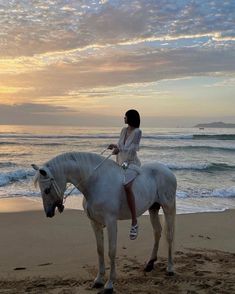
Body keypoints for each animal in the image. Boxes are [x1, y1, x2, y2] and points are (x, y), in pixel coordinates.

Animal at [32, 152, 176, 294]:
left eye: (46, 190)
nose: (48, 213)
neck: (96, 183)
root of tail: (167, 171)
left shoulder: (111, 221)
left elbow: (111, 251)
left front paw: (109, 284)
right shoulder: (95, 223)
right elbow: (100, 249)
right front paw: (98, 280)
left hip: (168, 208)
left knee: (169, 235)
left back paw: (170, 268)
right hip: (153, 208)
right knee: (157, 232)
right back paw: (150, 264)